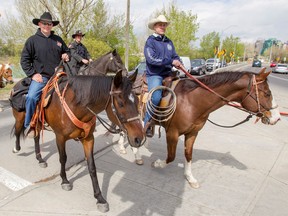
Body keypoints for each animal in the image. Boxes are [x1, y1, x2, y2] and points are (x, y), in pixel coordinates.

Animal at [11, 71, 144, 213]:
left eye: (137, 101)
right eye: (120, 103)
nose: (139, 138)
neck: (76, 105)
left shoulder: (88, 138)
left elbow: (92, 166)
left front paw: (99, 197)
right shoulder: (60, 137)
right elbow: (63, 158)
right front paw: (64, 181)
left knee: (36, 137)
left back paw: (40, 159)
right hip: (22, 119)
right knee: (19, 131)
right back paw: (17, 148)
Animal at [131, 68, 282, 188]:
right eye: (267, 93)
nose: (277, 117)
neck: (191, 101)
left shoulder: (193, 133)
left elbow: (188, 154)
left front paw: (190, 177)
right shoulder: (172, 133)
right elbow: (171, 156)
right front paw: (157, 164)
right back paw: (136, 155)